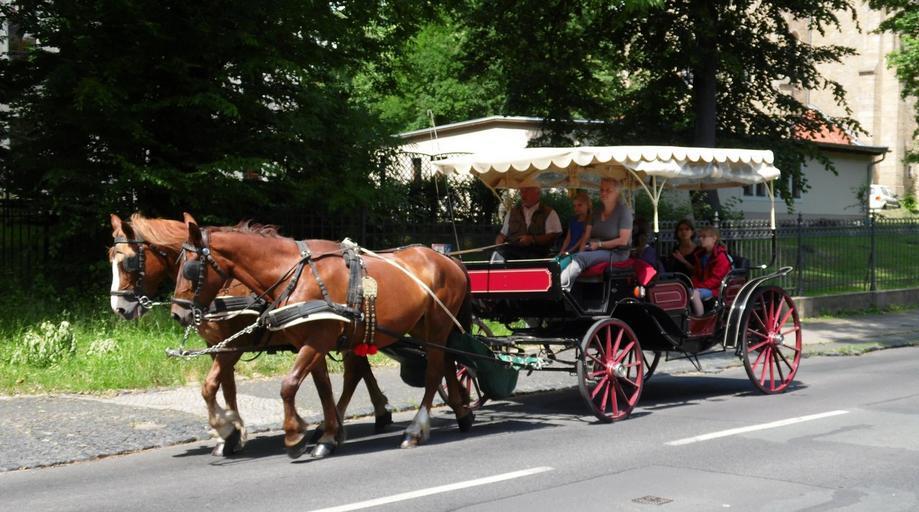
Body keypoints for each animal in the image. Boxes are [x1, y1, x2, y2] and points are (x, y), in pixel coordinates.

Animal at [109, 214, 394, 457]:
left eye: (128, 262)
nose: (119, 308)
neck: (225, 285)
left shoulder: (235, 343)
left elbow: (210, 386)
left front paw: (227, 430)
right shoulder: (219, 346)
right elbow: (227, 388)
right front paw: (232, 433)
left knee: (353, 373)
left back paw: (337, 425)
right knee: (358, 370)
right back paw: (375, 413)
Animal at [166, 213, 473, 455]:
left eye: (190, 269)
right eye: (175, 265)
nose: (178, 314)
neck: (294, 274)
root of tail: (449, 260)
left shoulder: (312, 341)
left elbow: (287, 384)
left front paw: (293, 435)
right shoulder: (311, 341)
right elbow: (322, 387)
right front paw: (327, 435)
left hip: (436, 327)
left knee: (433, 372)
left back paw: (416, 429)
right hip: (424, 327)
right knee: (446, 363)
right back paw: (462, 412)